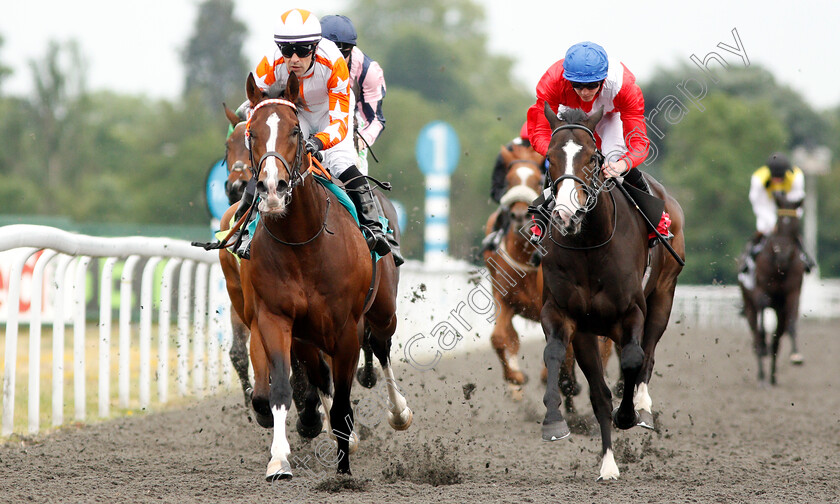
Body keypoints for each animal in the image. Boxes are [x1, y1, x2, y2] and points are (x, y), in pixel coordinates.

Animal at [238, 72, 412, 480]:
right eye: (251, 132)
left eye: (295, 131)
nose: (272, 188)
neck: (302, 242)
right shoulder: (277, 319)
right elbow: (284, 390)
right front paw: (279, 461)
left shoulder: (347, 327)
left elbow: (344, 404)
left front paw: (344, 472)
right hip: (308, 335)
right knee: (319, 375)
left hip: (383, 310)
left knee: (382, 346)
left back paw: (399, 412)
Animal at [540, 106, 684, 480]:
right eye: (550, 159)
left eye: (592, 157)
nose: (565, 214)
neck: (589, 246)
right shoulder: (564, 315)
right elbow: (555, 355)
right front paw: (553, 422)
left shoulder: (631, 312)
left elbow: (634, 359)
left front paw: (629, 413)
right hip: (591, 332)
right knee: (600, 393)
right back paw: (608, 464)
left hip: (663, 295)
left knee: (647, 355)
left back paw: (642, 407)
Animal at [740, 193, 804, 386]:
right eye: (780, 221)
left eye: (795, 224)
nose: (782, 254)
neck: (780, 268)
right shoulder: (760, 291)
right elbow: (761, 324)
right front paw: (762, 346)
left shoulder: (792, 294)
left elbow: (791, 325)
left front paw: (796, 355)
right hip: (748, 304)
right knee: (755, 333)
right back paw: (762, 375)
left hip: (778, 310)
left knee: (777, 339)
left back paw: (773, 376)